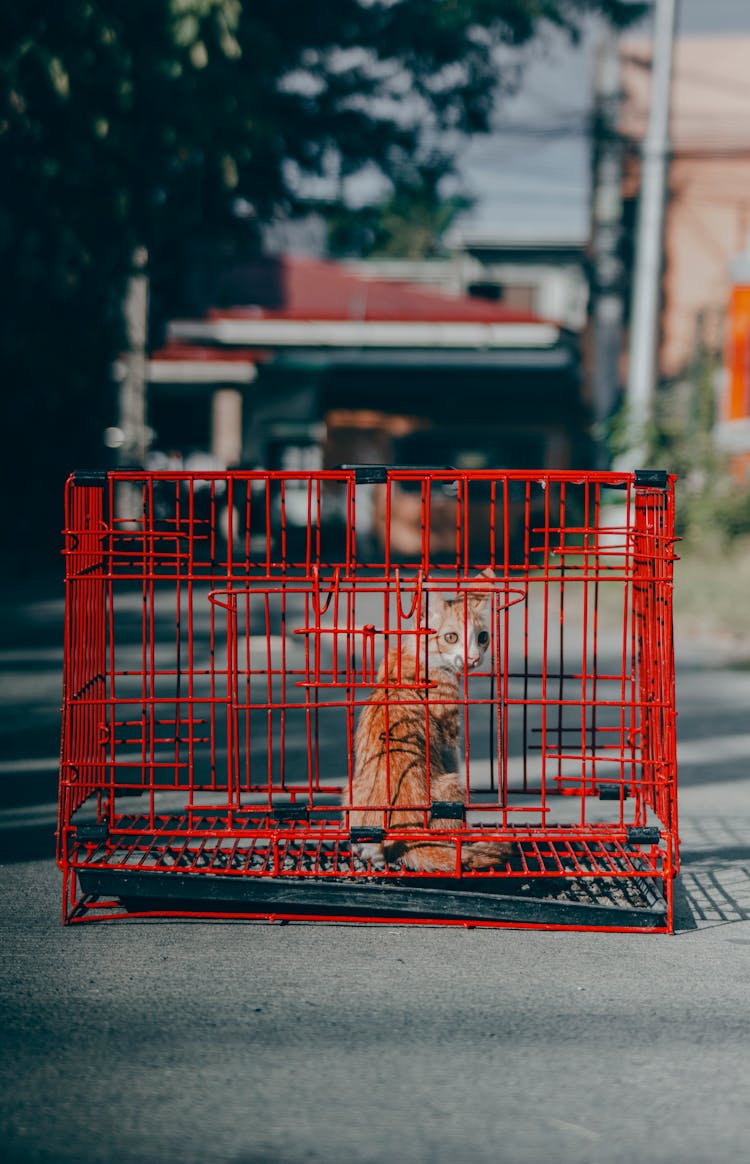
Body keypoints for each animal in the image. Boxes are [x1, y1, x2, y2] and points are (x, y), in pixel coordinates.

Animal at [349, 572, 512, 875]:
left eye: (483, 637)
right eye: (451, 637)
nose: (473, 658)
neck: (414, 654)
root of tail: (409, 834)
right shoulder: (449, 738)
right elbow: (452, 753)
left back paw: (371, 852)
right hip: (452, 788)